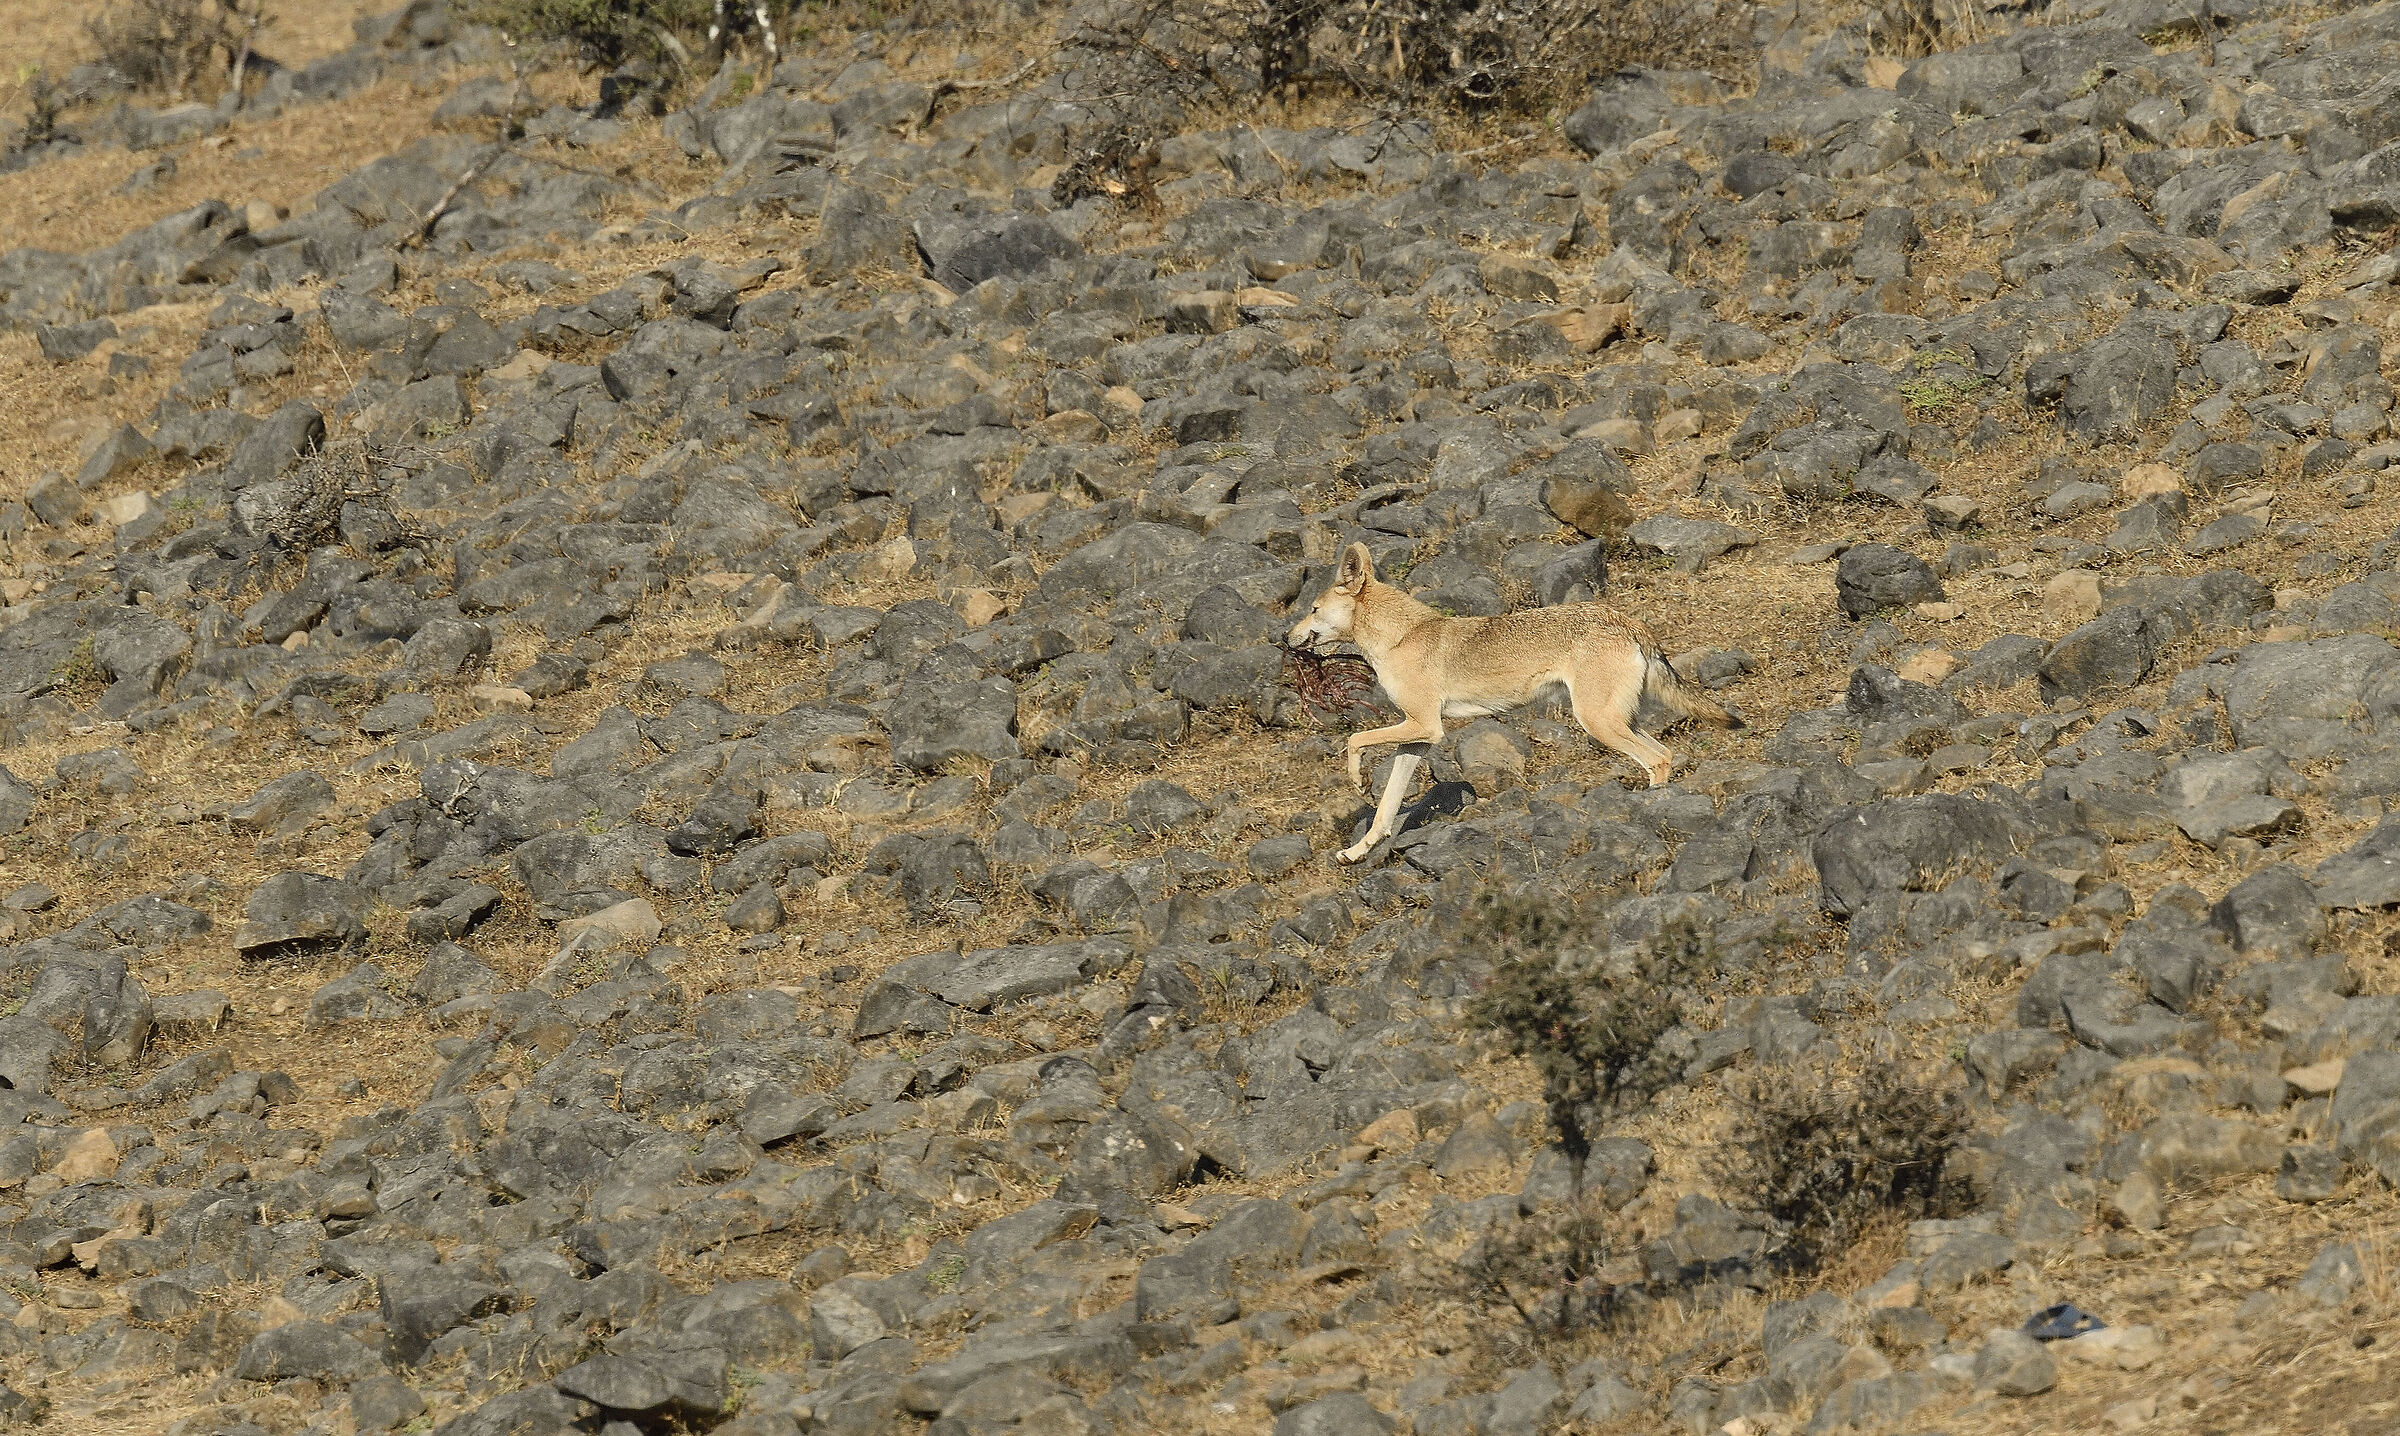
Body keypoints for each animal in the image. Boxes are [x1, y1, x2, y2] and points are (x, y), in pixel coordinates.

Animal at [1286, 542, 1742, 863]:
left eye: (1313, 609)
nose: (1285, 638)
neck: (1398, 638)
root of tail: (1628, 620)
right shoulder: (1416, 738)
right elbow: (1386, 809)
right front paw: (1358, 851)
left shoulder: (1427, 726)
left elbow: (1355, 741)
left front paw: (1357, 780)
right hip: (1618, 720)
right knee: (1666, 754)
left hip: (1597, 722)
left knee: (1658, 760)